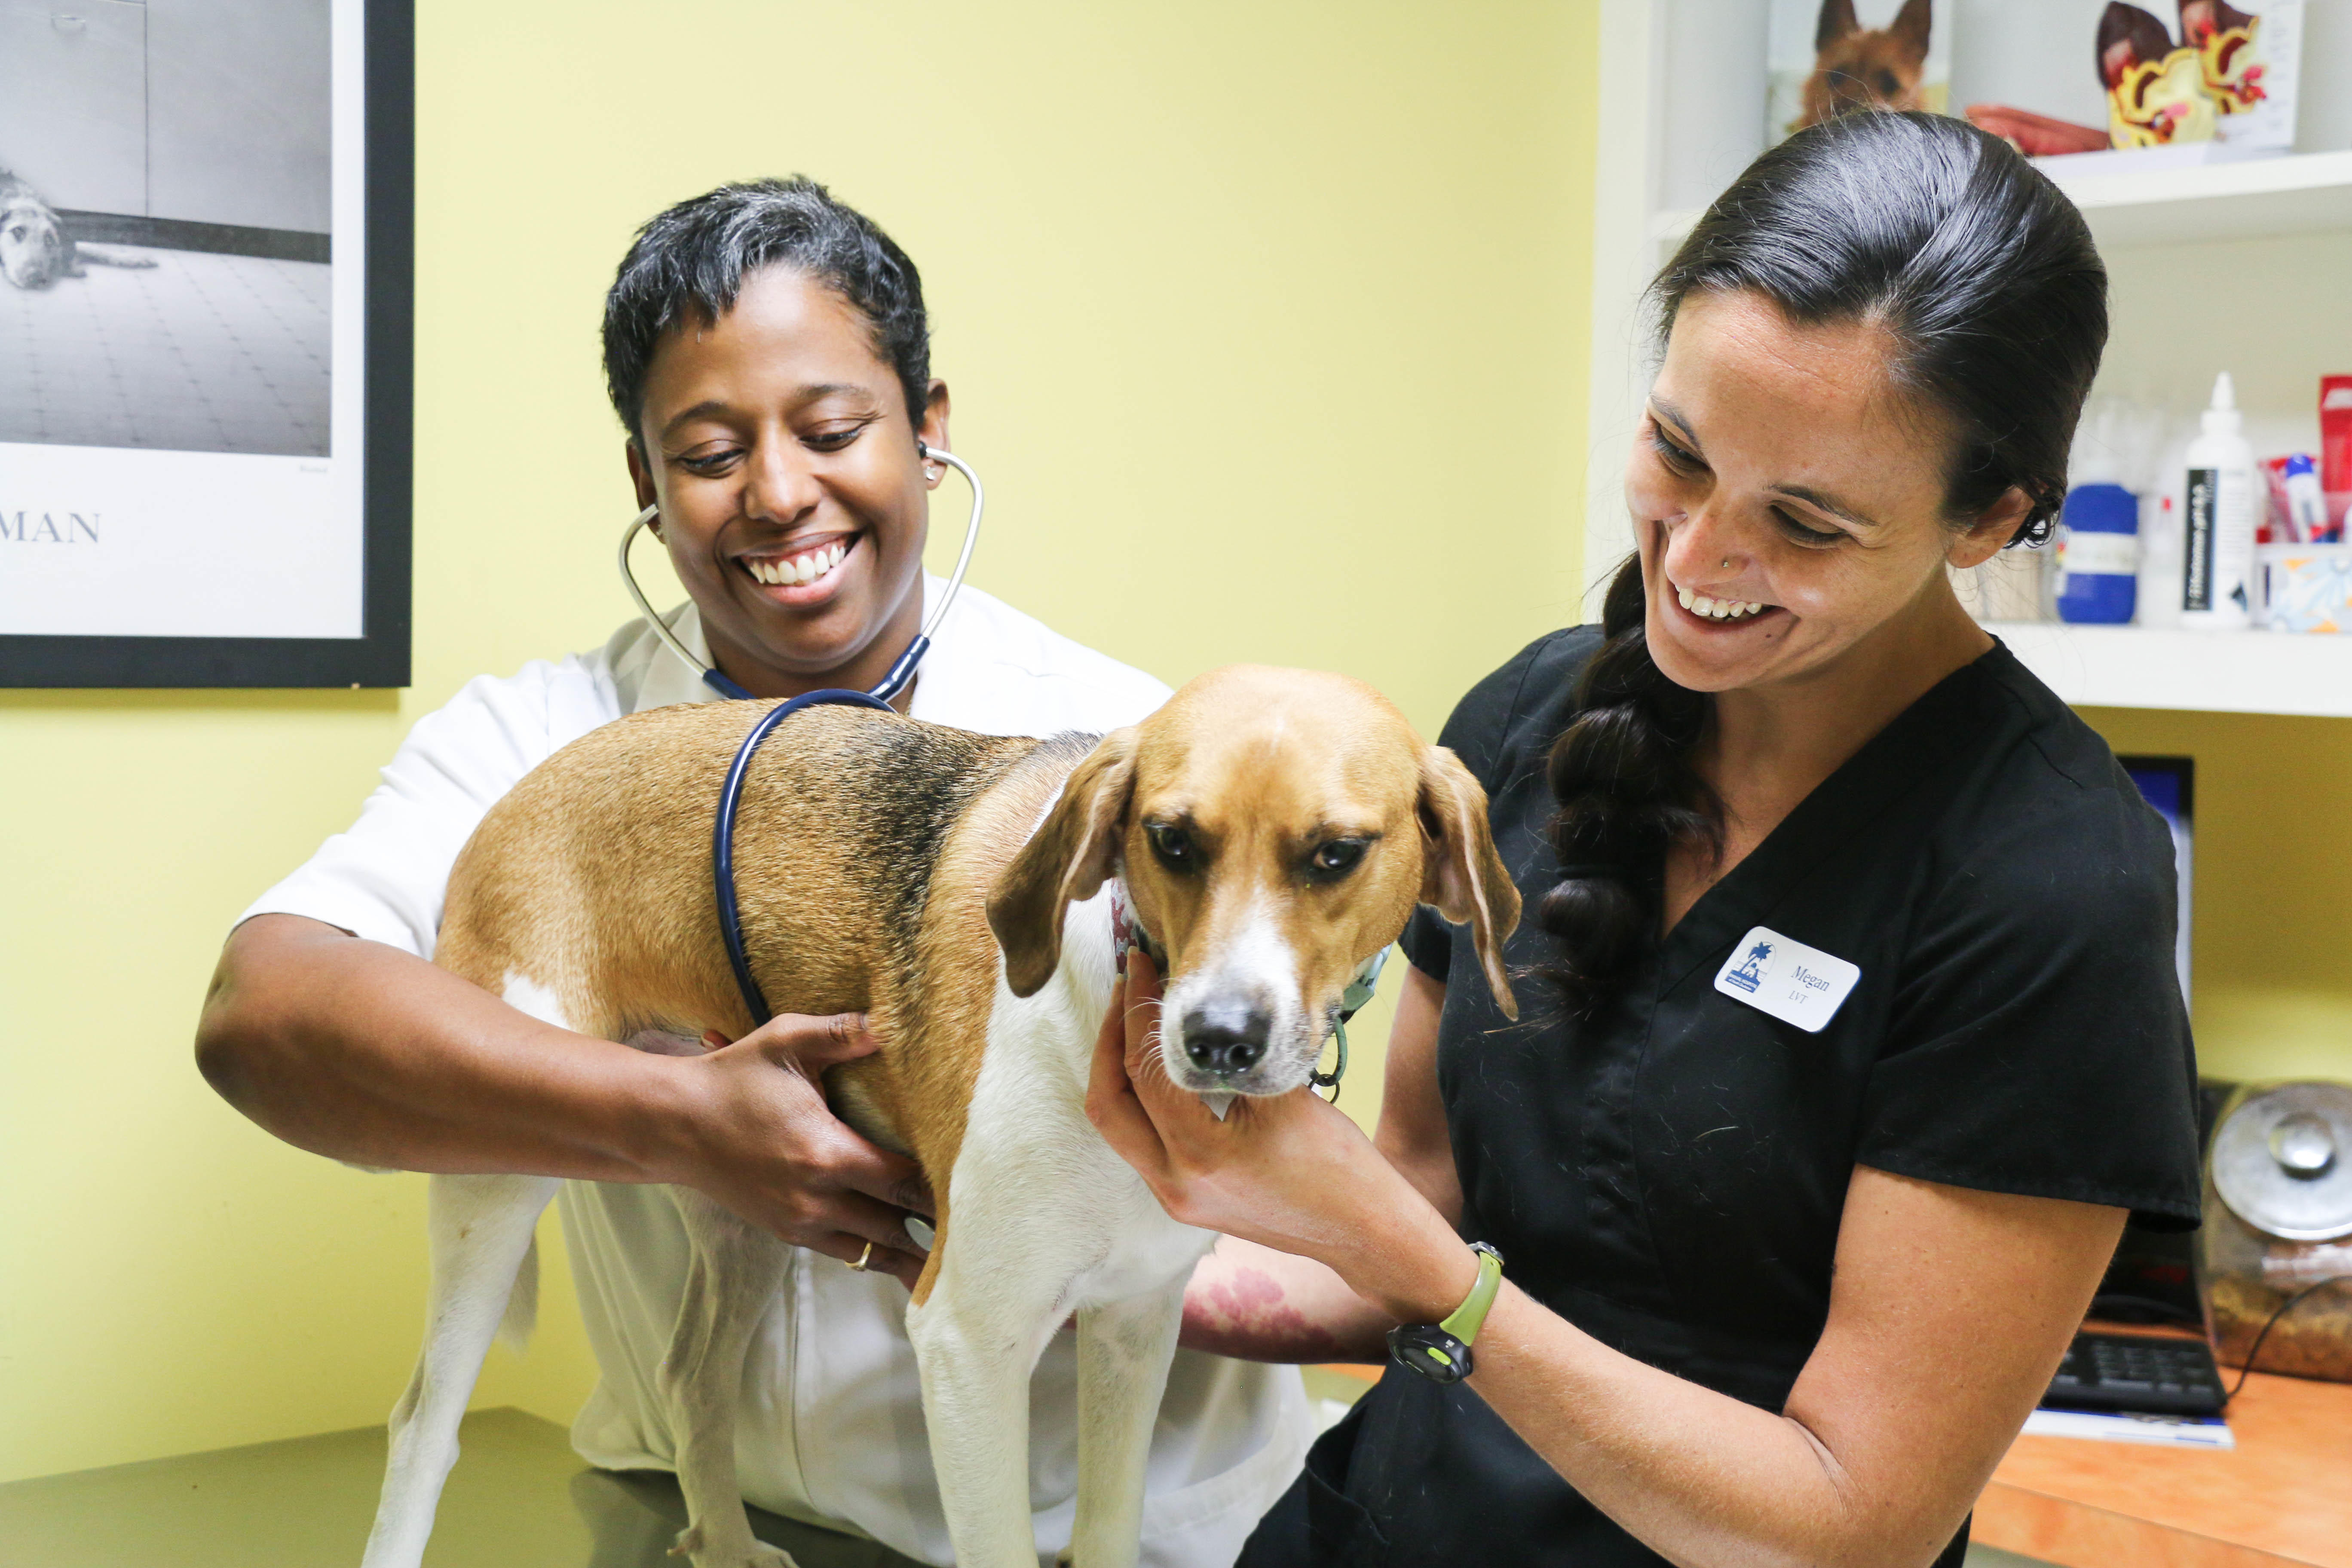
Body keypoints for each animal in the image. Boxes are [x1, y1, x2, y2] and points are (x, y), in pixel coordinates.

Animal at [357, 668, 1514, 1568]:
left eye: (1336, 855)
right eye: (1172, 842)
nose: (1216, 1038)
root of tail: (522, 789)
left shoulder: (1133, 1329)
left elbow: (1106, 1527)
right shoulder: (968, 1342)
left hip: (731, 1203)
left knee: (692, 1380)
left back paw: (725, 1540)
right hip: (497, 1178)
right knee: (420, 1426)